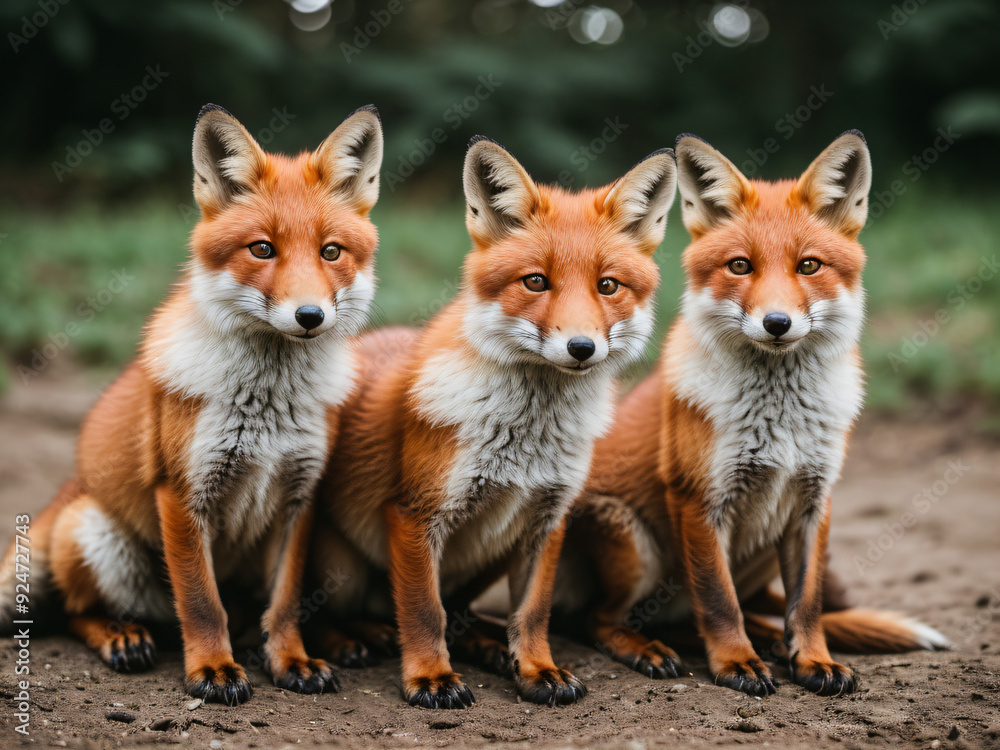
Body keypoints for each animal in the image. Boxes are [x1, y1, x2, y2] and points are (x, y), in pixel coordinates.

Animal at [0, 104, 384, 704]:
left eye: (331, 252)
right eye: (262, 248)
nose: (310, 316)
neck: (266, 408)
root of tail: (68, 490)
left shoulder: (300, 497)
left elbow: (285, 604)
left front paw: (291, 661)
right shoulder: (182, 492)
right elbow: (203, 602)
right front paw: (212, 670)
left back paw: (346, 638)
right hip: (98, 536)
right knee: (74, 611)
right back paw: (121, 636)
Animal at [308, 136, 677, 708]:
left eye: (608, 286)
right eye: (536, 282)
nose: (581, 347)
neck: (526, 437)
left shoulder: (548, 517)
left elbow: (532, 613)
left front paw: (537, 670)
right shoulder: (415, 515)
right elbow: (423, 610)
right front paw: (430, 678)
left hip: (489, 554)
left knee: (461, 613)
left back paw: (483, 644)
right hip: (338, 567)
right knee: (338, 613)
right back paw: (358, 639)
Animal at [552, 131, 949, 697]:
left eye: (809, 266)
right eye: (740, 266)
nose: (777, 323)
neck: (778, 418)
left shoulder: (813, 501)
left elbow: (807, 605)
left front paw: (813, 660)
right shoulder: (699, 501)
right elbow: (719, 602)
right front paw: (736, 663)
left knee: (734, 613)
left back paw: (769, 642)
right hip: (633, 543)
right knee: (598, 620)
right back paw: (649, 648)